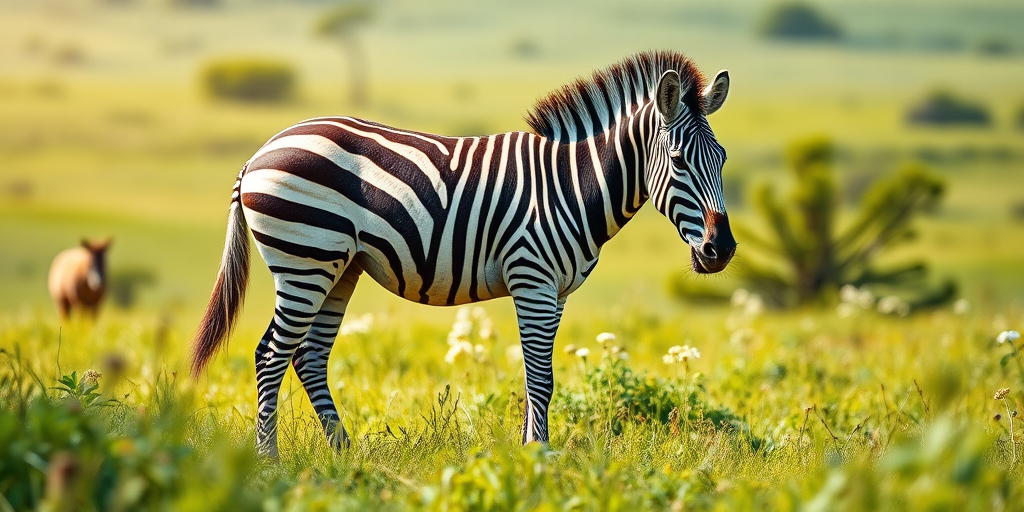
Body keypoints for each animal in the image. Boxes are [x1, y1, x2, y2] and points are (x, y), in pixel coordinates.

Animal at [190, 50, 735, 457]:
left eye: (723, 159)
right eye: (680, 161)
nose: (723, 249)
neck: (571, 186)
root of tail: (260, 152)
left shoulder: (555, 291)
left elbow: (535, 378)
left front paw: (529, 453)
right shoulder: (532, 279)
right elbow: (541, 378)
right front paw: (540, 458)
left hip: (339, 268)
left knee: (308, 356)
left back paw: (343, 454)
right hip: (305, 258)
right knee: (270, 354)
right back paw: (270, 462)